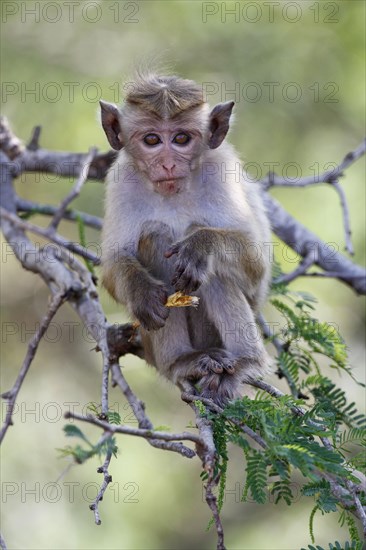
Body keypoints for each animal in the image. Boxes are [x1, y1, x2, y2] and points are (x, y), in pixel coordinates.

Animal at [100, 71, 272, 408]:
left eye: (181, 139)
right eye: (152, 140)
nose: (168, 163)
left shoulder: (221, 173)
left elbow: (255, 263)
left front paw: (200, 247)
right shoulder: (121, 181)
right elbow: (113, 264)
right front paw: (141, 292)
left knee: (214, 270)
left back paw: (244, 362)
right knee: (154, 237)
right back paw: (183, 361)